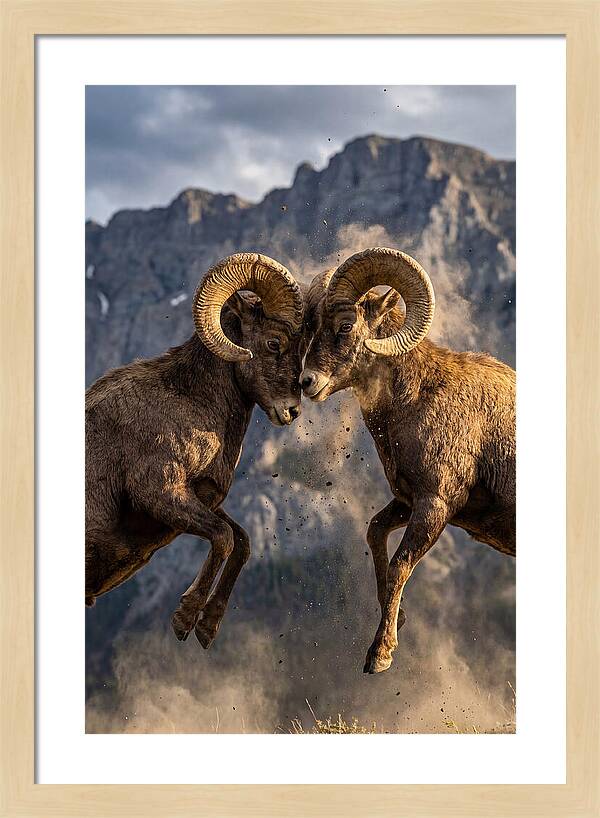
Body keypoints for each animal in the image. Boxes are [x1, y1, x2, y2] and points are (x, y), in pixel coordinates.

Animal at [86, 253, 306, 648]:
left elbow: (242, 541)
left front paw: (207, 628)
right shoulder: (160, 493)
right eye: (273, 342)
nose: (292, 410)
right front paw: (185, 619)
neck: (190, 401)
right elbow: (223, 538)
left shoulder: (201, 500)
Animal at [300, 247, 515, 674]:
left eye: (346, 325)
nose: (306, 382)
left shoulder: (435, 505)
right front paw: (397, 619)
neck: (417, 398)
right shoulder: (406, 501)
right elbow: (374, 533)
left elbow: (401, 565)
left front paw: (380, 655)